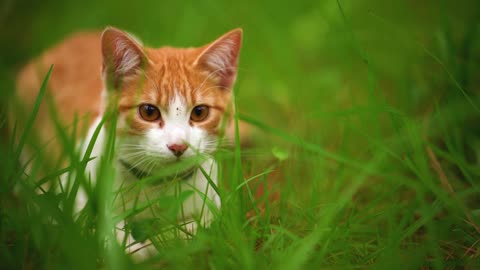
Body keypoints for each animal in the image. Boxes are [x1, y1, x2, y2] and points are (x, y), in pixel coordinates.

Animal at [15, 26, 244, 258]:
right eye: (149, 112)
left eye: (199, 112)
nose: (178, 146)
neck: (157, 186)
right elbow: (92, 228)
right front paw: (133, 247)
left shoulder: (213, 202)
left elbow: (198, 228)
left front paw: (166, 239)